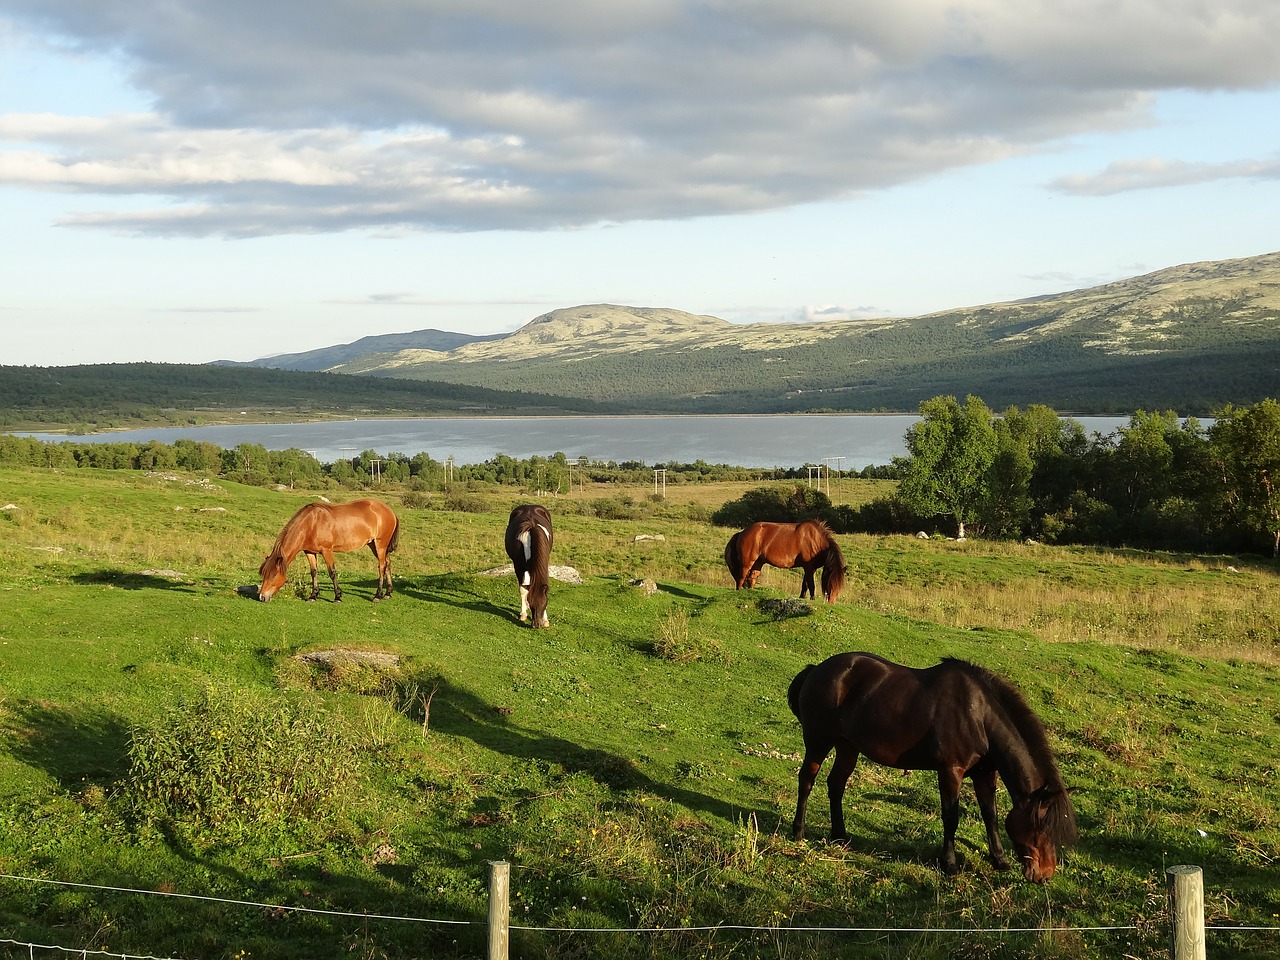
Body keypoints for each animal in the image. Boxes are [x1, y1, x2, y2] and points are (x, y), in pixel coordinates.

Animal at [256, 504, 399, 601]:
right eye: (263, 575)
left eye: (273, 576)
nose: (262, 597)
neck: (310, 524)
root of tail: (389, 510)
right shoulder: (309, 552)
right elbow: (314, 572)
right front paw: (313, 595)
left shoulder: (327, 551)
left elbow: (332, 572)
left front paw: (337, 596)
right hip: (373, 545)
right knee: (387, 563)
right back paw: (388, 593)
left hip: (380, 545)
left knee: (381, 566)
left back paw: (378, 595)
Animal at [504, 504, 555, 632]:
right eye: (532, 604)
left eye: (544, 604)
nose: (536, 625)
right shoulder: (519, 566)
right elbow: (523, 589)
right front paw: (523, 613)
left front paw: (545, 620)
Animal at [783, 655, 1075, 885]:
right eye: (1043, 828)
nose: (1045, 874)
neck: (978, 716)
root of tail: (817, 669)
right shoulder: (950, 772)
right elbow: (951, 818)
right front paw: (950, 864)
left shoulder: (984, 774)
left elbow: (990, 815)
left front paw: (999, 860)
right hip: (819, 741)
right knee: (806, 780)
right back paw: (798, 832)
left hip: (847, 747)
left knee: (836, 785)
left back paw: (840, 836)